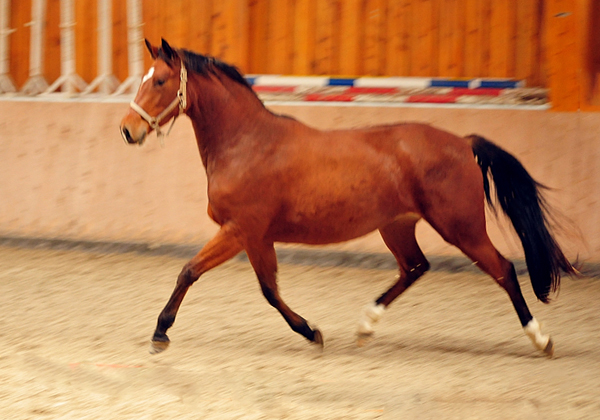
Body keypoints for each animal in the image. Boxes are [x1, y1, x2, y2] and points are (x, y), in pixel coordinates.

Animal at [119, 40, 576, 358]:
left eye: (159, 81)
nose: (127, 130)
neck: (247, 143)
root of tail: (463, 143)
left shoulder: (238, 230)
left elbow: (189, 272)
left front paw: (160, 333)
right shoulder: (256, 236)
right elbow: (269, 289)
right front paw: (312, 332)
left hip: (461, 228)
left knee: (503, 269)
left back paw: (541, 339)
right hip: (397, 226)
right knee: (415, 266)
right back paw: (365, 326)